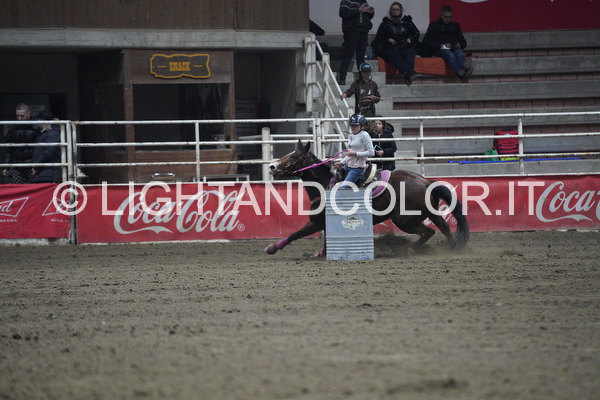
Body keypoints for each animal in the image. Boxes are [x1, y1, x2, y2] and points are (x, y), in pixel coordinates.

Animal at [265, 140, 469, 256]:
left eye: (295, 156)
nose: (272, 166)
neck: (324, 184)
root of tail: (426, 182)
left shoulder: (316, 222)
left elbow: (295, 234)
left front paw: (271, 248)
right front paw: (321, 253)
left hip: (403, 219)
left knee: (429, 231)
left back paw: (411, 249)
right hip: (428, 213)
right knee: (443, 227)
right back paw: (452, 248)